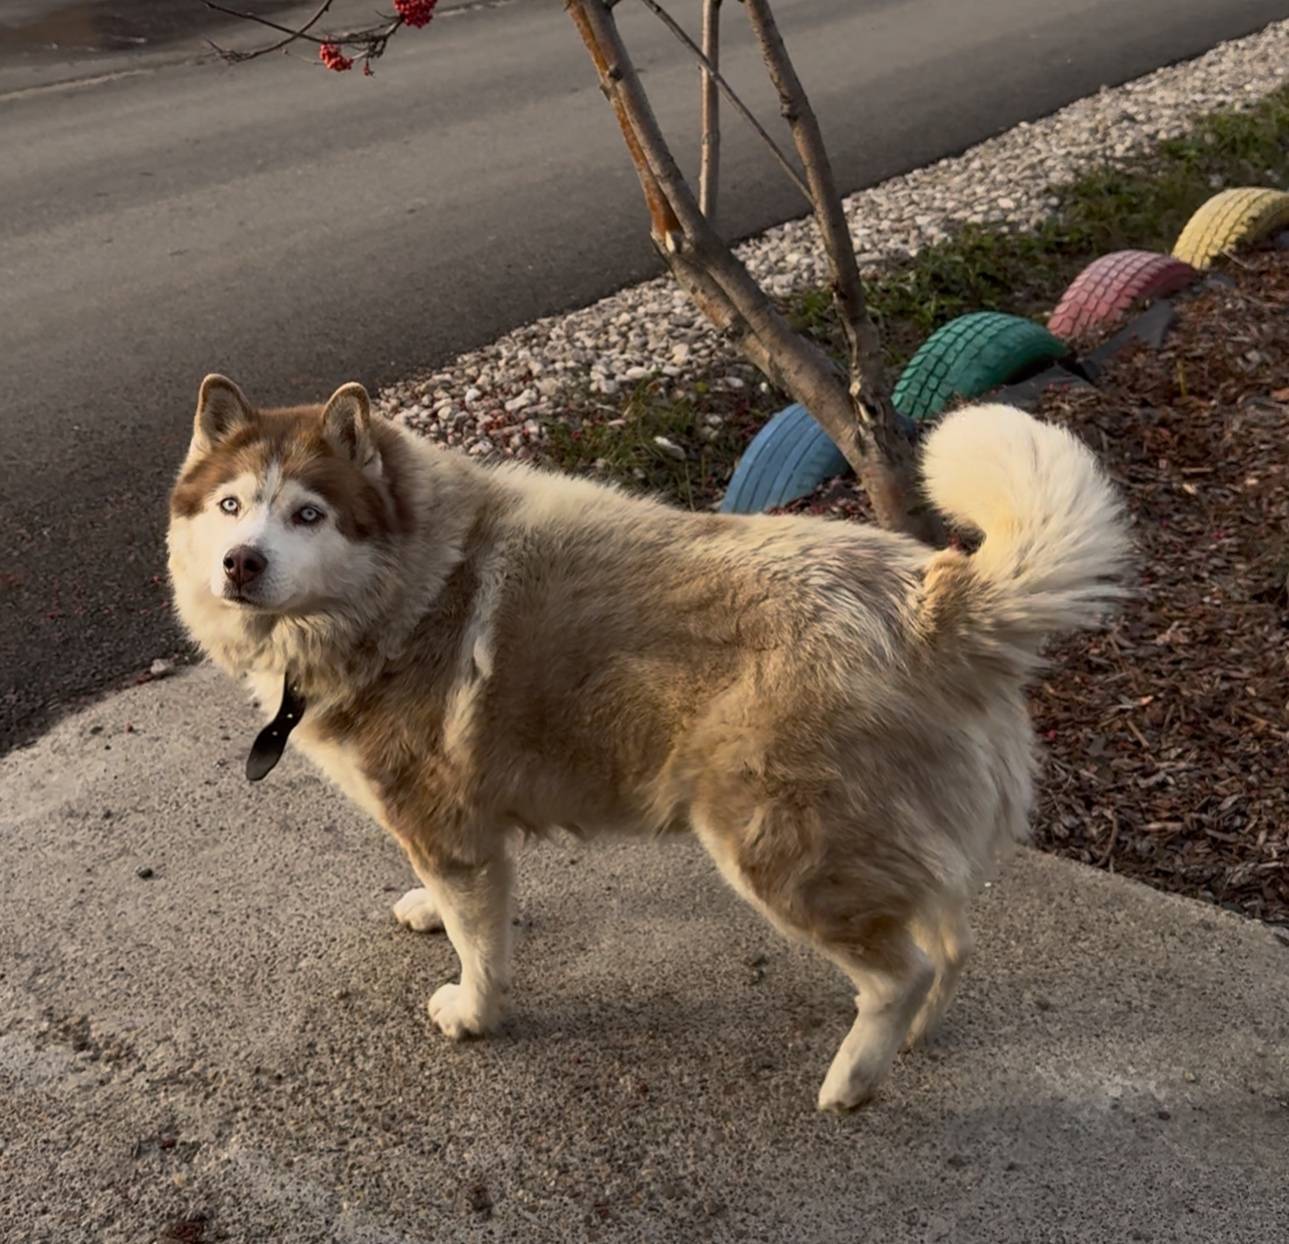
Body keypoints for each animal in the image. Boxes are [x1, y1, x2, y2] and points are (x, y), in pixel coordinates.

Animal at [167, 374, 1128, 1111]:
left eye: (308, 514)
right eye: (230, 505)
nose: (241, 562)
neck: (412, 589)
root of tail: (929, 599)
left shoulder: (447, 826)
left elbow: (480, 947)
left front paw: (473, 1012)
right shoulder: (460, 827)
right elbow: (452, 904)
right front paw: (426, 911)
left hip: (779, 848)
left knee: (904, 972)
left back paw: (851, 1080)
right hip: (891, 837)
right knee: (949, 942)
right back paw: (916, 1039)